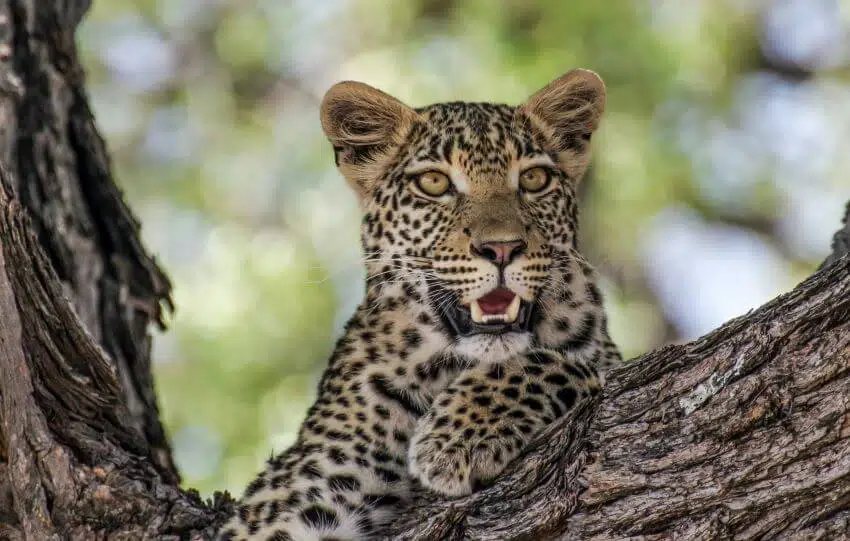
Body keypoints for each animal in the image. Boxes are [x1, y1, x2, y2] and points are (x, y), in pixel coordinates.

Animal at [215, 68, 620, 540]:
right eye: (434, 183)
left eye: (535, 180)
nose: (502, 248)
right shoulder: (306, 483)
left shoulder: (601, 355)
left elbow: (566, 363)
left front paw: (457, 436)